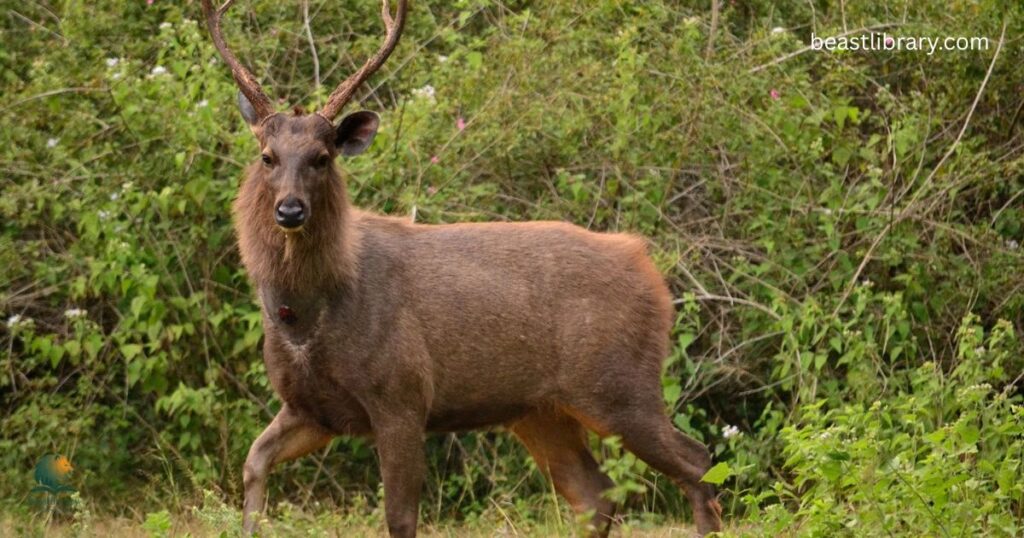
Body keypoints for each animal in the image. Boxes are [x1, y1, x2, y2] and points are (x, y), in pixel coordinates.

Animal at [200, 1, 724, 536]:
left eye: (322, 158)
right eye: (267, 156)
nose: (290, 210)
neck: (309, 314)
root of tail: (649, 270)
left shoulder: (402, 394)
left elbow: (400, 517)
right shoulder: (311, 407)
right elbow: (254, 460)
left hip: (619, 382)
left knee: (697, 462)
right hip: (539, 410)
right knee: (596, 492)